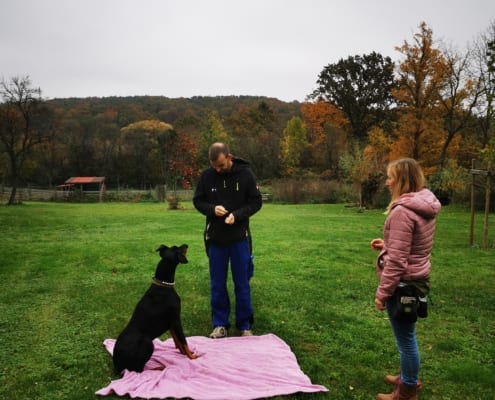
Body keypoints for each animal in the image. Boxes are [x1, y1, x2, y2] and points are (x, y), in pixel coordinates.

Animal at [112, 244, 198, 376]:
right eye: (177, 248)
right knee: (137, 371)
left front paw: (183, 353)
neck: (164, 285)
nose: (186, 245)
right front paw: (192, 357)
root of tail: (116, 364)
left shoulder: (171, 323)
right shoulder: (176, 320)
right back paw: (159, 368)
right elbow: (183, 341)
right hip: (148, 343)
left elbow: (177, 341)